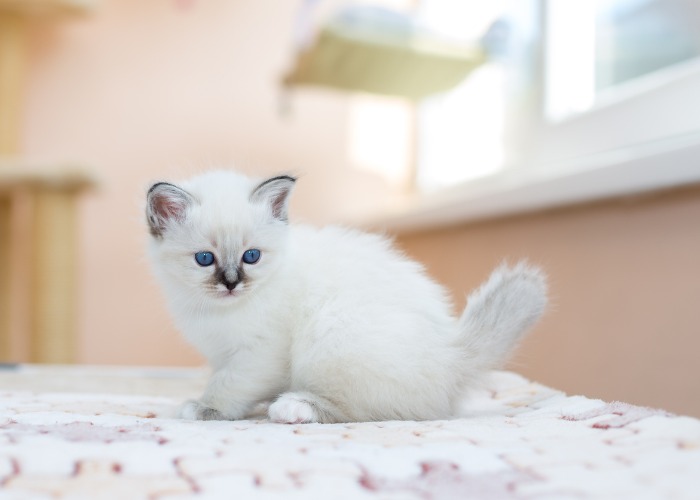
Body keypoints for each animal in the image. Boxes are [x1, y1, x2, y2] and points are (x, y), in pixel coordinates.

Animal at [145, 171, 544, 422]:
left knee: (372, 411)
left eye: (251, 256)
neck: (219, 310)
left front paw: (205, 408)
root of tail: (453, 355)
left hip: (329, 334)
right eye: (205, 259)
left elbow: (229, 384)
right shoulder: (223, 353)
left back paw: (293, 408)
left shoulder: (260, 353)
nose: (231, 283)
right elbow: (225, 380)